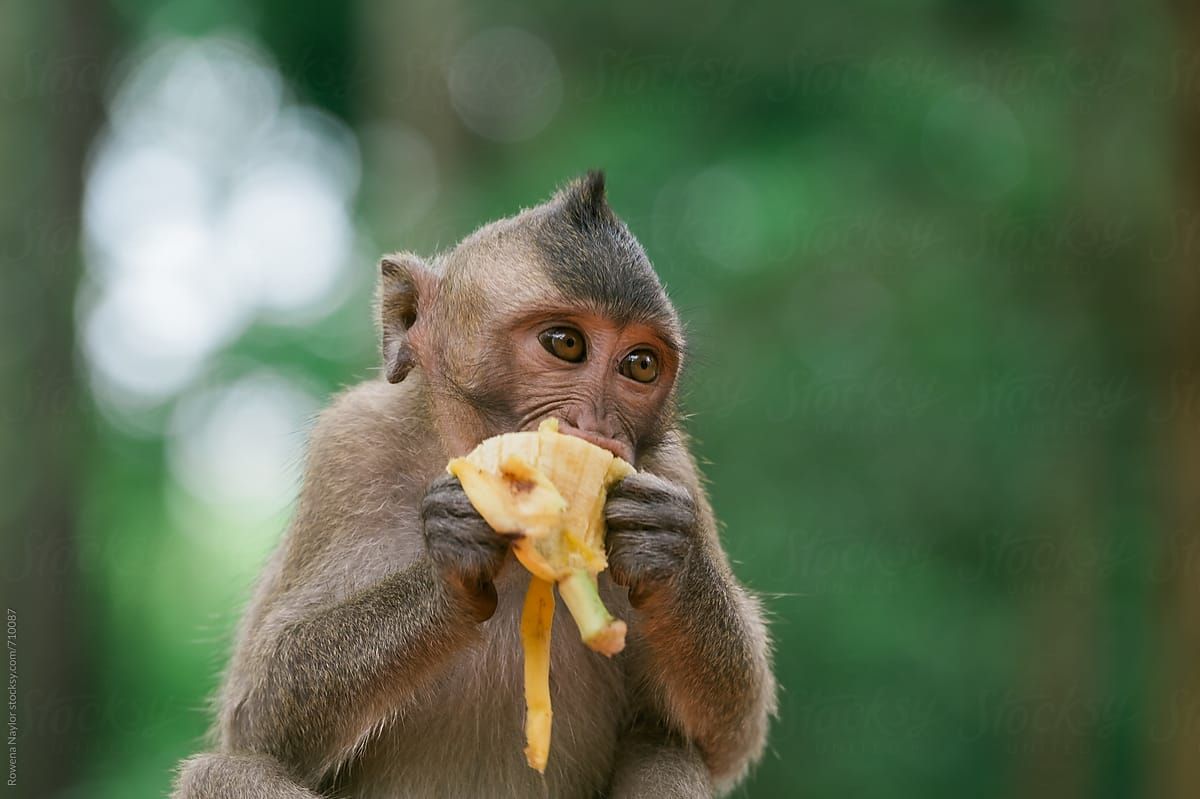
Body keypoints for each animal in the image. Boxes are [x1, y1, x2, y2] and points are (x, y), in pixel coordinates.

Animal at [174, 171, 777, 791]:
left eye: (640, 365)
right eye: (566, 343)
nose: (599, 430)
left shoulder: (671, 469)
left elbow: (724, 735)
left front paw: (668, 549)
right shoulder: (348, 448)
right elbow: (258, 712)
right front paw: (454, 554)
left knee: (667, 750)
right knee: (225, 769)